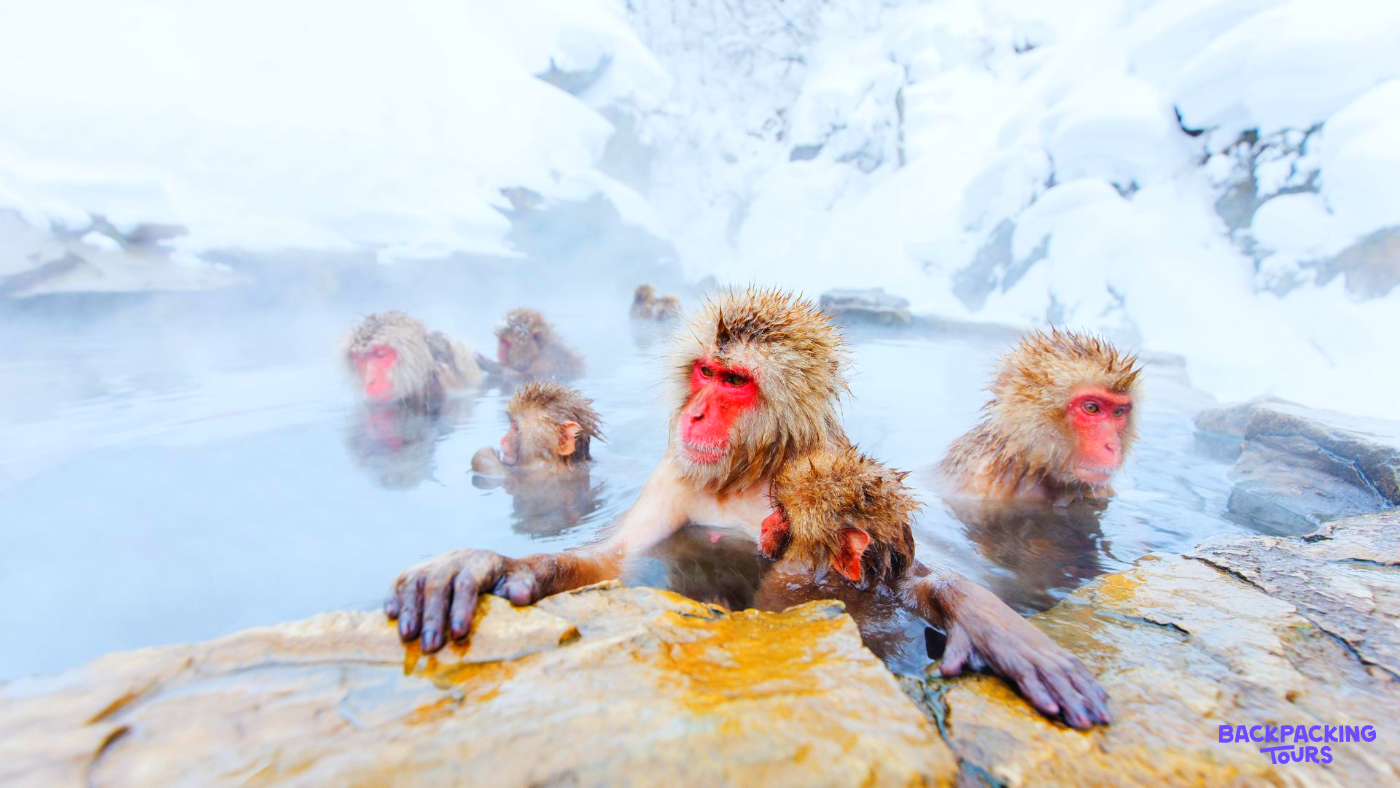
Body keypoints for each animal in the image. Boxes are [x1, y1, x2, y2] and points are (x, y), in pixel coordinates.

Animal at [384, 288, 1110, 729]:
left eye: (735, 382)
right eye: (706, 372)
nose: (698, 412)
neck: (751, 471)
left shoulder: (828, 465)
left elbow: (902, 570)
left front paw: (990, 624)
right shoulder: (674, 473)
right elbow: (615, 556)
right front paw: (487, 566)